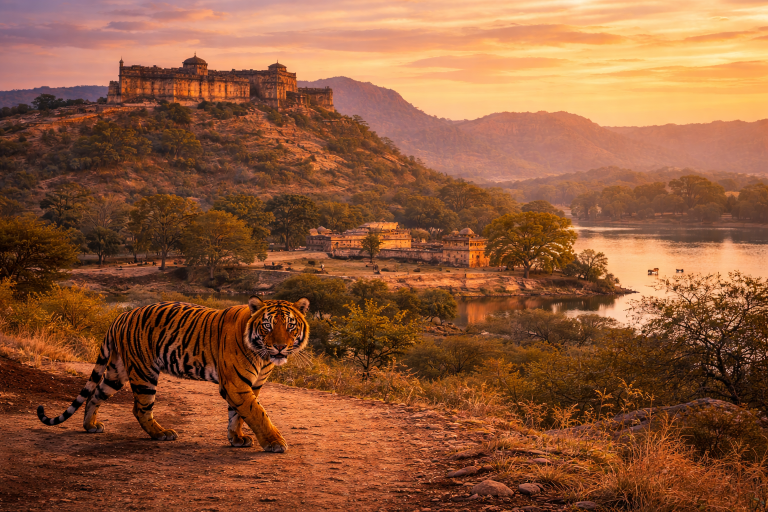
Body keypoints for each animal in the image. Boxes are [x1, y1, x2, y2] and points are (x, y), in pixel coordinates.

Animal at [37, 296, 310, 452]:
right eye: (267, 326)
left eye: (290, 326)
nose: (280, 347)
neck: (263, 357)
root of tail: (122, 314)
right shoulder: (236, 383)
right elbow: (257, 413)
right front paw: (275, 443)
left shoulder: (250, 385)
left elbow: (238, 415)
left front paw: (236, 438)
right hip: (144, 371)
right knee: (140, 409)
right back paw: (161, 434)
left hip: (117, 371)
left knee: (95, 395)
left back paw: (90, 426)